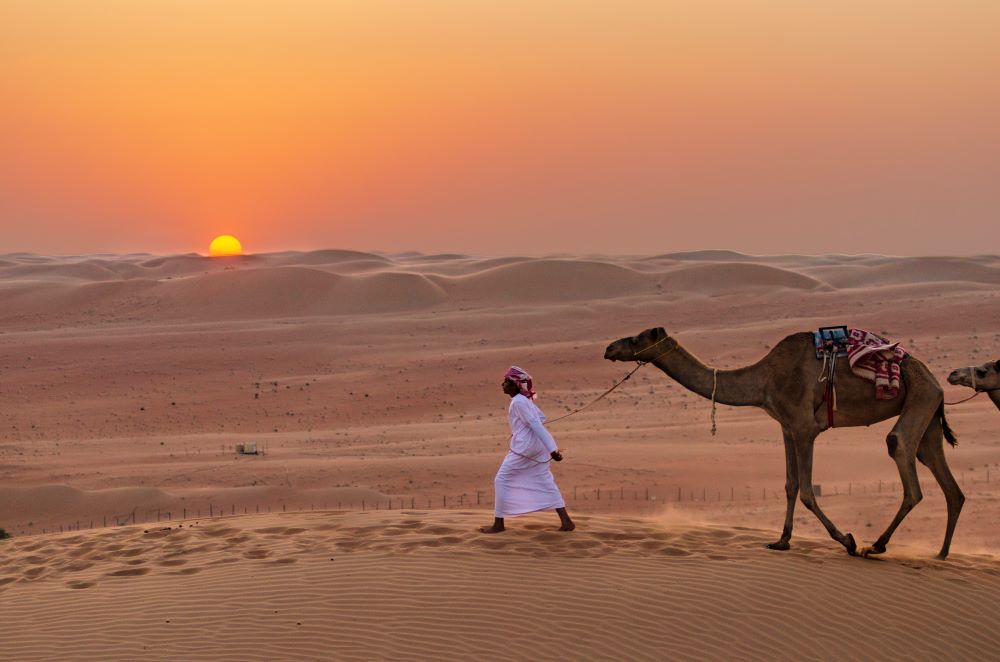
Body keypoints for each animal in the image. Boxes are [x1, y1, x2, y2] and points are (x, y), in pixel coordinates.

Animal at [604, 326, 964, 560]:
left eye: (635, 338)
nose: (609, 348)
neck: (763, 379)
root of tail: (934, 380)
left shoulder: (805, 427)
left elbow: (806, 491)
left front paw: (846, 540)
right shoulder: (787, 427)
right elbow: (790, 485)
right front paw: (781, 541)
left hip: (919, 395)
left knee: (900, 448)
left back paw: (874, 546)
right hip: (927, 409)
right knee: (942, 474)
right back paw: (942, 553)